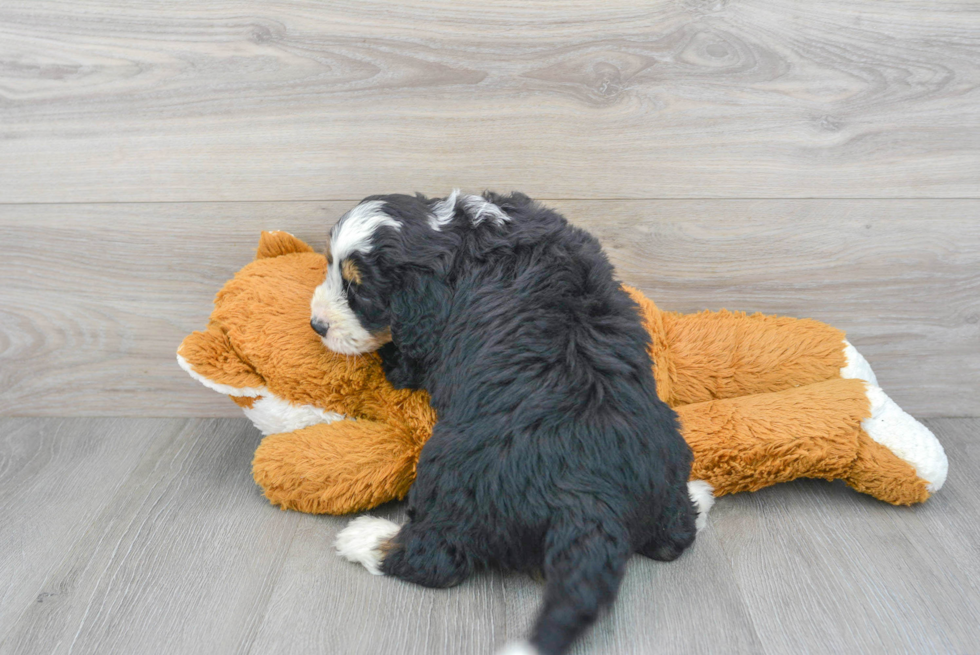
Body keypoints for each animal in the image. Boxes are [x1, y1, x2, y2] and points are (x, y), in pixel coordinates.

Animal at [312, 190, 704, 655]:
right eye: (329, 267)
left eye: (359, 290)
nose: (316, 325)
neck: (456, 235)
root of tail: (591, 500)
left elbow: (400, 361)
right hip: (669, 449)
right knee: (675, 538)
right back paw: (700, 497)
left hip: (448, 470)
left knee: (434, 557)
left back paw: (364, 538)